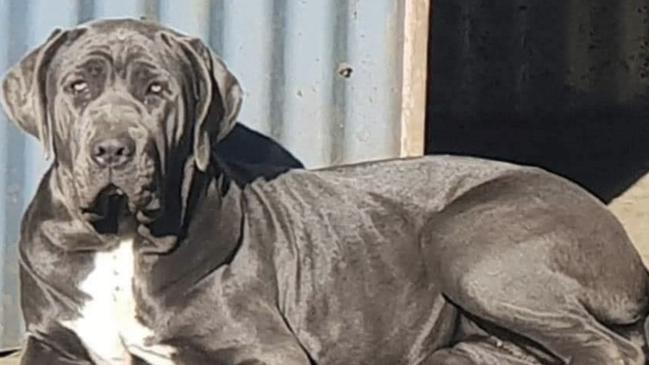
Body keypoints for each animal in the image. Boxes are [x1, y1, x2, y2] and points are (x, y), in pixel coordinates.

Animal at [1, 19, 648, 364]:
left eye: (157, 90)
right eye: (78, 86)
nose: (113, 149)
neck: (120, 242)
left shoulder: (266, 348)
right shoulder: (50, 340)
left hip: (468, 244)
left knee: (611, 351)